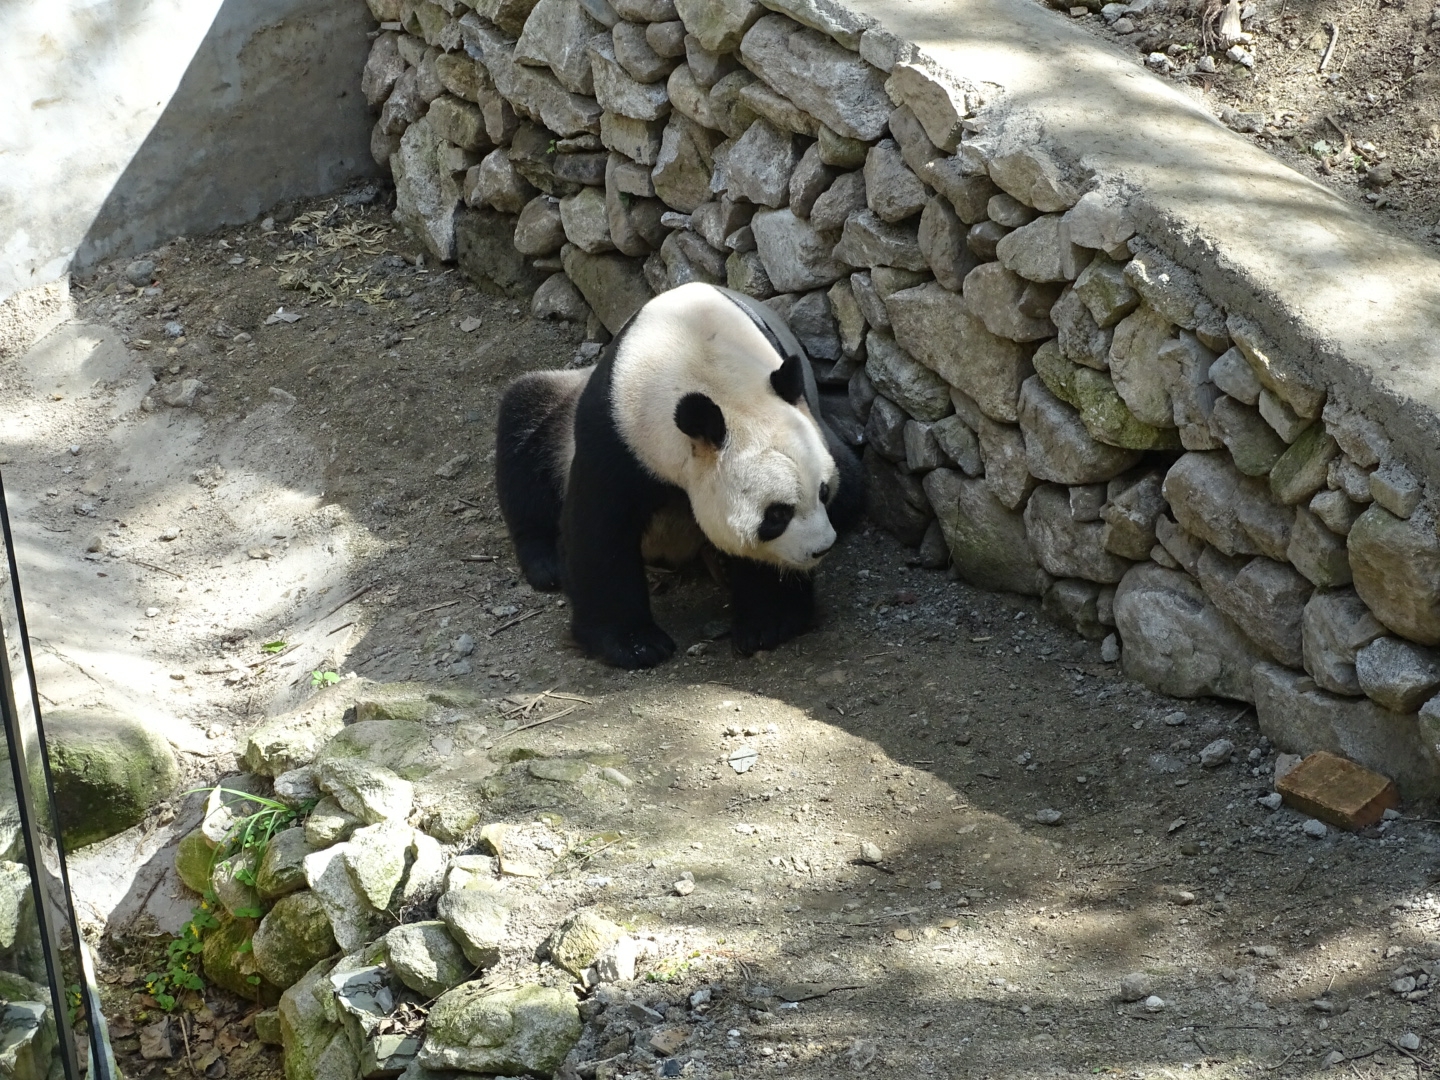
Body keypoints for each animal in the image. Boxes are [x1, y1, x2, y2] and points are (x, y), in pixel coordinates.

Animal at [495, 280, 858, 668]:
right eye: (776, 515)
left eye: (823, 492)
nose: (821, 549)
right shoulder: (615, 433)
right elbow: (599, 528)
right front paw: (635, 644)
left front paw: (769, 622)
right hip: (561, 418)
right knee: (526, 420)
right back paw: (546, 563)